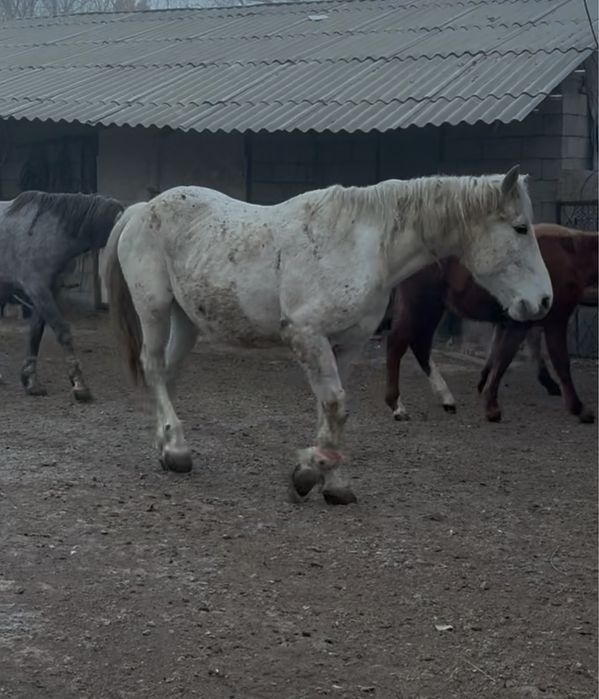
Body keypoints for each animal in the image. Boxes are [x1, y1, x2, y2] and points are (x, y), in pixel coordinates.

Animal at [0, 191, 123, 400]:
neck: (46, 232)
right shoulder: (38, 289)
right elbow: (62, 332)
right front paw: (80, 385)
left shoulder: (47, 292)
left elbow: (35, 334)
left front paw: (31, 381)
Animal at [103, 166, 552, 505]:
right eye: (520, 228)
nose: (543, 301)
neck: (359, 246)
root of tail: (142, 209)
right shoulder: (307, 335)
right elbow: (336, 405)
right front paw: (309, 474)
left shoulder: (347, 344)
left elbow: (331, 410)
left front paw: (331, 482)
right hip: (155, 308)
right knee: (154, 367)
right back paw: (178, 451)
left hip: (186, 320)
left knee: (169, 373)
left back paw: (166, 447)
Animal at [385, 223, 597, 424]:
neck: (572, 251)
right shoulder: (549, 320)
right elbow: (555, 362)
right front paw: (579, 408)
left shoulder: (516, 322)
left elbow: (499, 355)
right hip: (419, 302)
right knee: (398, 343)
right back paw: (398, 407)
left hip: (432, 307)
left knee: (420, 344)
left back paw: (446, 399)